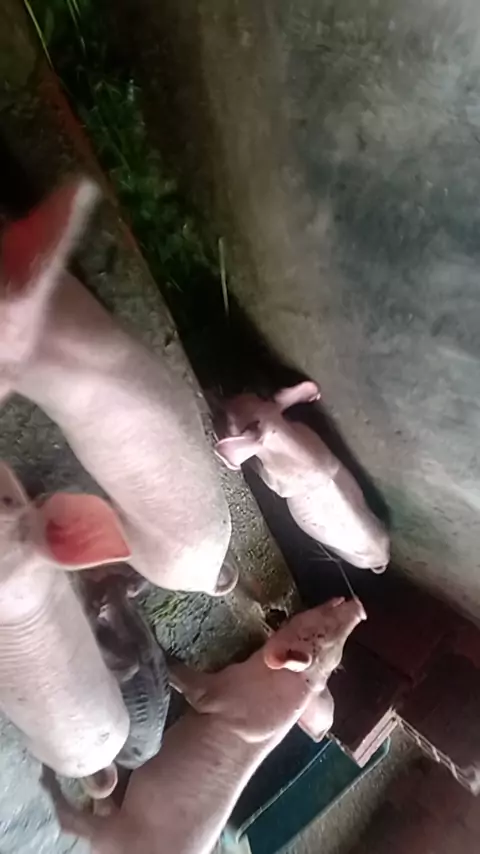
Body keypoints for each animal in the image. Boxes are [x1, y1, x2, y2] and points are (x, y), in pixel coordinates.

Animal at [42, 596, 365, 854]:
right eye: (327, 636)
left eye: (317, 634)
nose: (359, 608)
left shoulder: (221, 692)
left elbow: (191, 683)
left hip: (114, 835)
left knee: (75, 820)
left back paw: (48, 780)